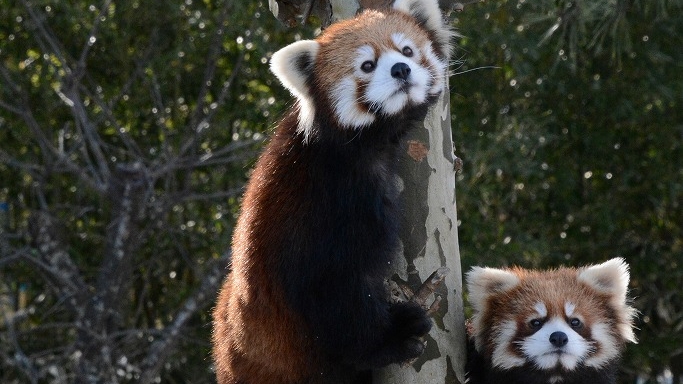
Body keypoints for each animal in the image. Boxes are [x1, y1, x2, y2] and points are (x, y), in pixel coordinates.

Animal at [211, 0, 452, 384]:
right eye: (367, 65)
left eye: (407, 50)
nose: (401, 69)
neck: (354, 147)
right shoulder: (326, 208)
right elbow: (334, 293)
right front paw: (393, 335)